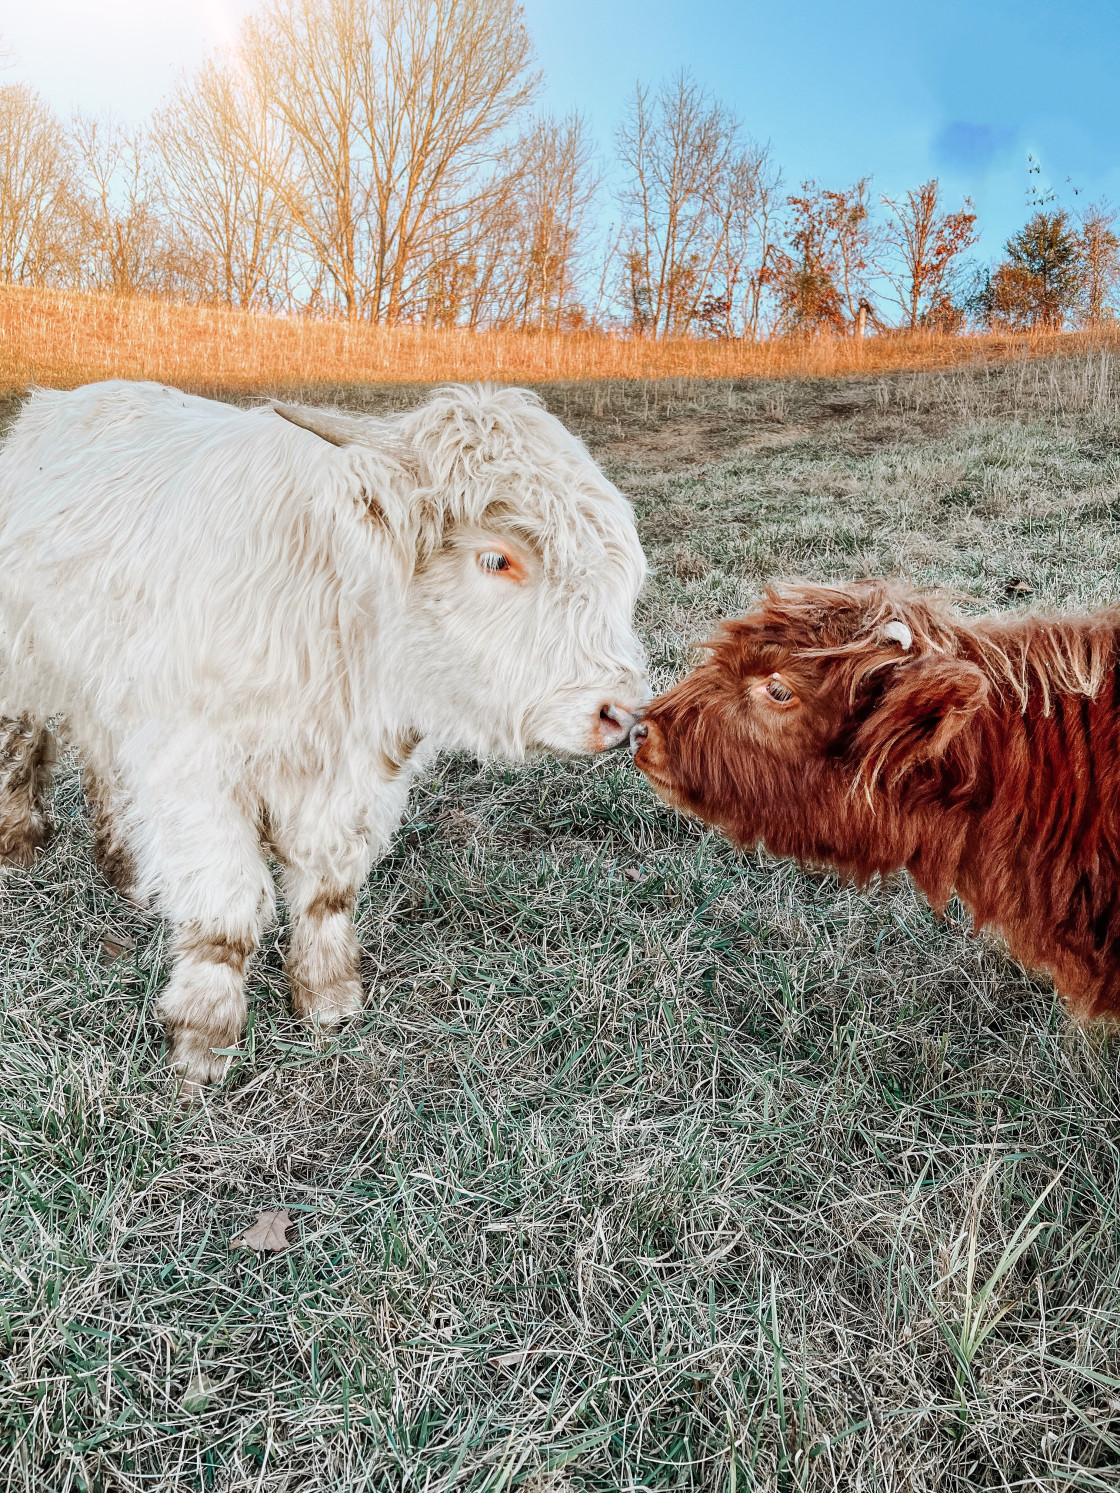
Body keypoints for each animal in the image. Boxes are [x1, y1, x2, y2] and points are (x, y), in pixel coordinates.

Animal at [0, 382, 648, 1086]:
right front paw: (204, 1040)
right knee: (22, 740)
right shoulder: (197, 766)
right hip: (23, 660)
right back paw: (19, 844)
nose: (623, 714)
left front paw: (329, 1000)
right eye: (498, 558)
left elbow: (327, 890)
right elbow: (226, 905)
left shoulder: (356, 778)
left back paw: (124, 869)